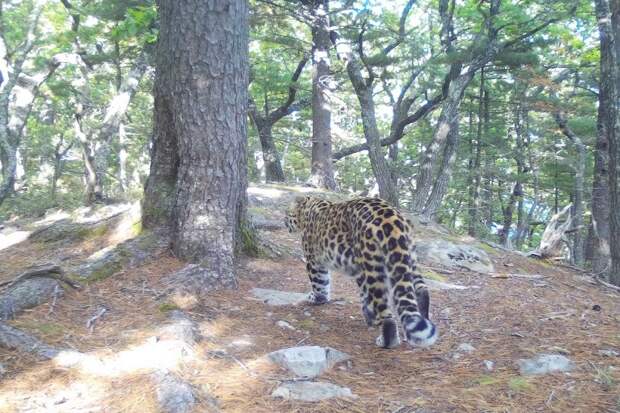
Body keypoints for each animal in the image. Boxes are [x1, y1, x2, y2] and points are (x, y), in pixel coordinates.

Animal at [284, 196, 438, 348]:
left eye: (287, 213)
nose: (284, 221)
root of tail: (392, 218)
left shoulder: (313, 260)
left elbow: (319, 282)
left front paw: (317, 298)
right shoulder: (358, 269)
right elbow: (364, 295)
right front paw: (370, 316)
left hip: (373, 267)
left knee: (386, 311)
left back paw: (386, 341)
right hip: (407, 258)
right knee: (421, 289)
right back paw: (421, 320)